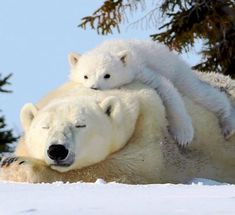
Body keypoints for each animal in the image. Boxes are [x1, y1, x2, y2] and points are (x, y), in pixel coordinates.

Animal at [1, 73, 235, 183]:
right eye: (45, 126)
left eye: (80, 125)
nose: (57, 150)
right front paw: (10, 161)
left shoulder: (150, 126)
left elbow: (120, 167)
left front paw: (18, 164)